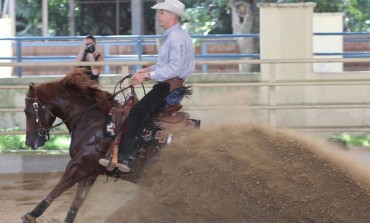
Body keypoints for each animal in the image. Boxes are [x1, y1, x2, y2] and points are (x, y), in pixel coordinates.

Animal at [22, 71, 155, 223]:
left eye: (27, 111)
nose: (28, 142)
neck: (93, 122)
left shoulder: (79, 164)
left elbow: (58, 190)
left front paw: (31, 215)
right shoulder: (91, 171)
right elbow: (78, 200)